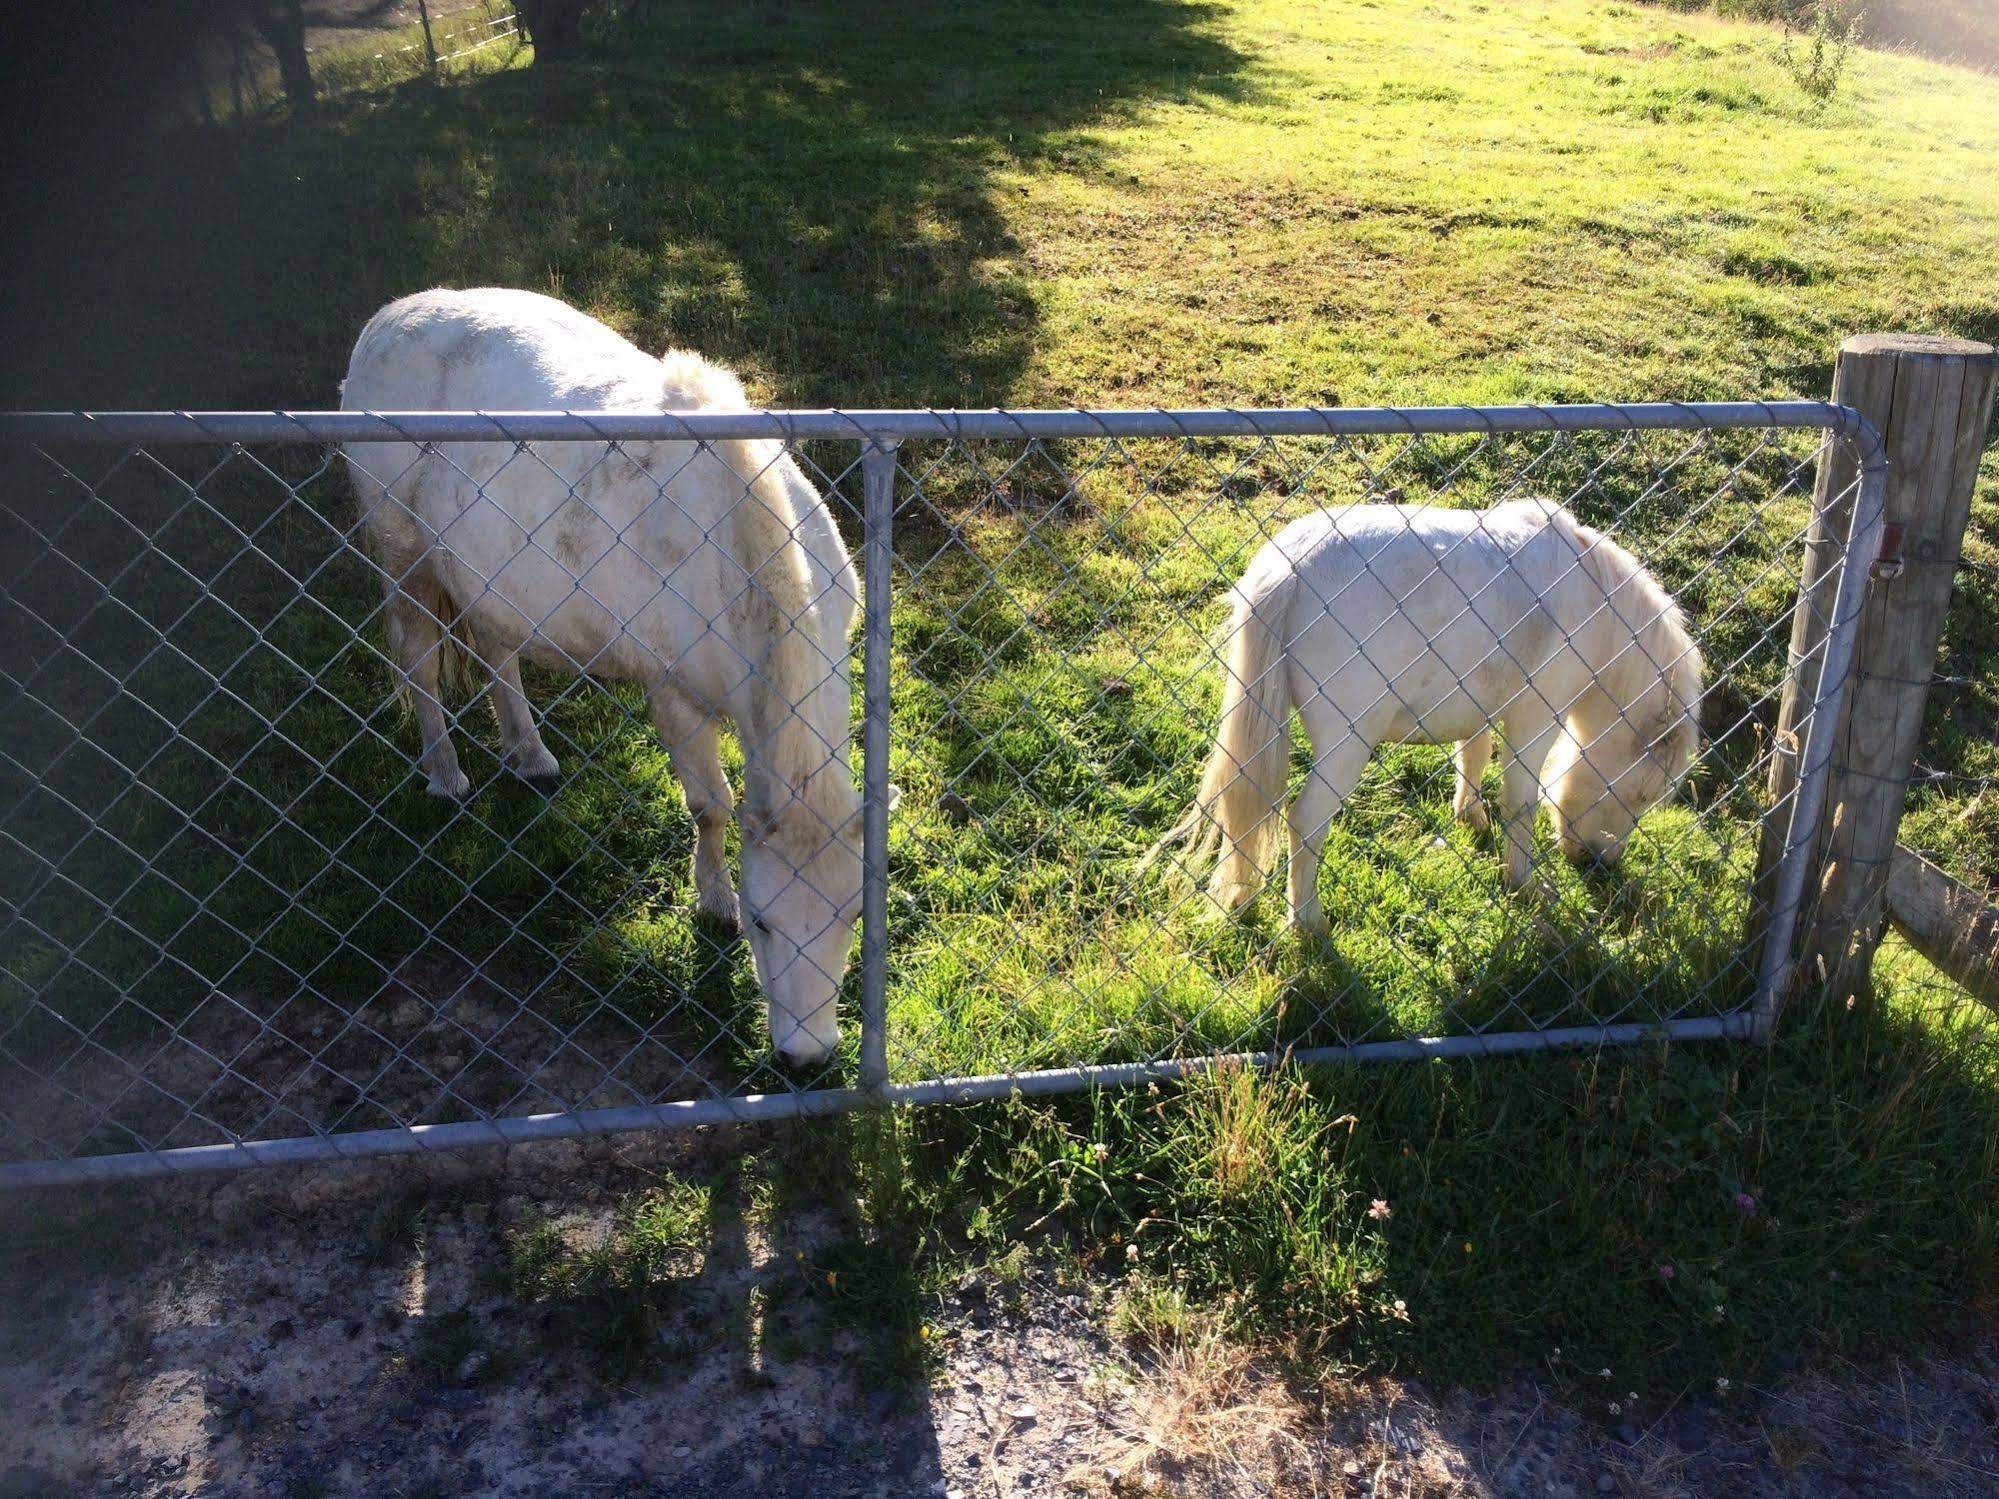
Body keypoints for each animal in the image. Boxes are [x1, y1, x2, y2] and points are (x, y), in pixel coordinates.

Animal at [339, 287, 879, 1071]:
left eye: (852, 917)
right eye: (765, 924)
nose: (806, 1059)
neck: (739, 550)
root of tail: (387, 319)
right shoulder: (672, 693)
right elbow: (709, 806)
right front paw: (714, 900)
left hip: (490, 573)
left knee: (497, 649)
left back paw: (530, 755)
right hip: (402, 549)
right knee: (419, 664)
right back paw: (445, 774)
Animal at [1159, 499, 1703, 935]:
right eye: (1642, 796)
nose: (1598, 863)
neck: (1596, 603)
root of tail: (1289, 569)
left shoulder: (1480, 701)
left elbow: (1475, 753)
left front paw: (1470, 817)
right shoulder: (1536, 719)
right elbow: (1522, 804)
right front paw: (1524, 884)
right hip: (1347, 744)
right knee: (1305, 821)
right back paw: (1307, 922)